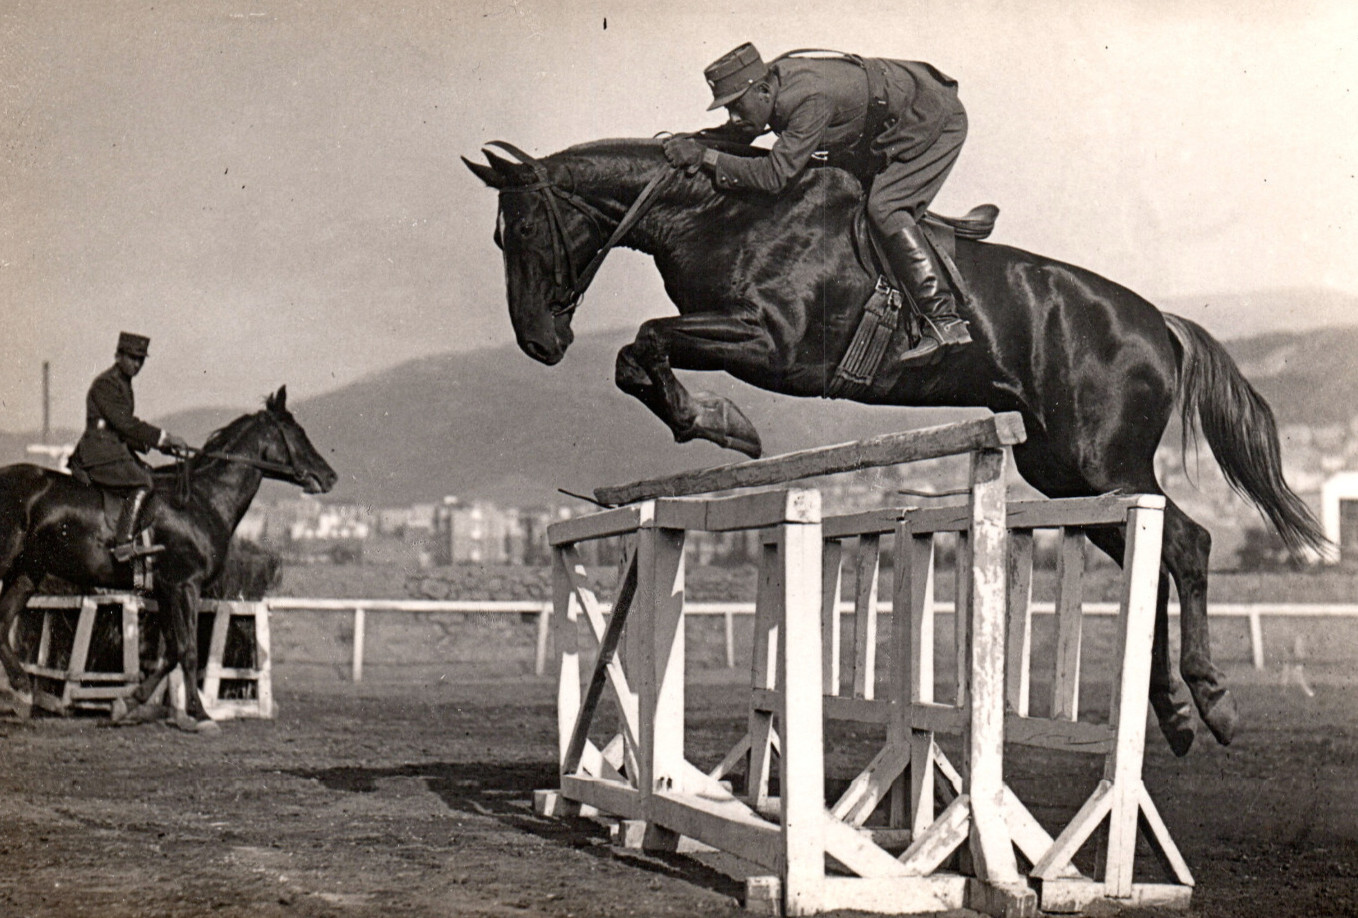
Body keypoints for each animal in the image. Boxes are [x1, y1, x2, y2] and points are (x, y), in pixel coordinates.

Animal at [0, 386, 336, 731]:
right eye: (297, 432)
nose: (329, 476)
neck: (203, 500)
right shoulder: (185, 585)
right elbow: (188, 651)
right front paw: (201, 714)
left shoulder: (164, 589)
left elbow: (172, 651)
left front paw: (126, 702)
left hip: (26, 573)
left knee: (2, 625)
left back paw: (23, 692)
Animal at [465, 137, 1328, 757]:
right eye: (500, 237)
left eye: (527, 229)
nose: (539, 341)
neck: (719, 212)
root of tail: (1160, 324)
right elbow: (635, 356)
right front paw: (709, 420)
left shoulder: (771, 342)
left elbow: (645, 341)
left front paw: (717, 421)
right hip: (1066, 470)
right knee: (1151, 550)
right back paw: (1173, 712)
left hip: (1102, 463)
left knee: (1186, 543)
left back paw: (1211, 700)